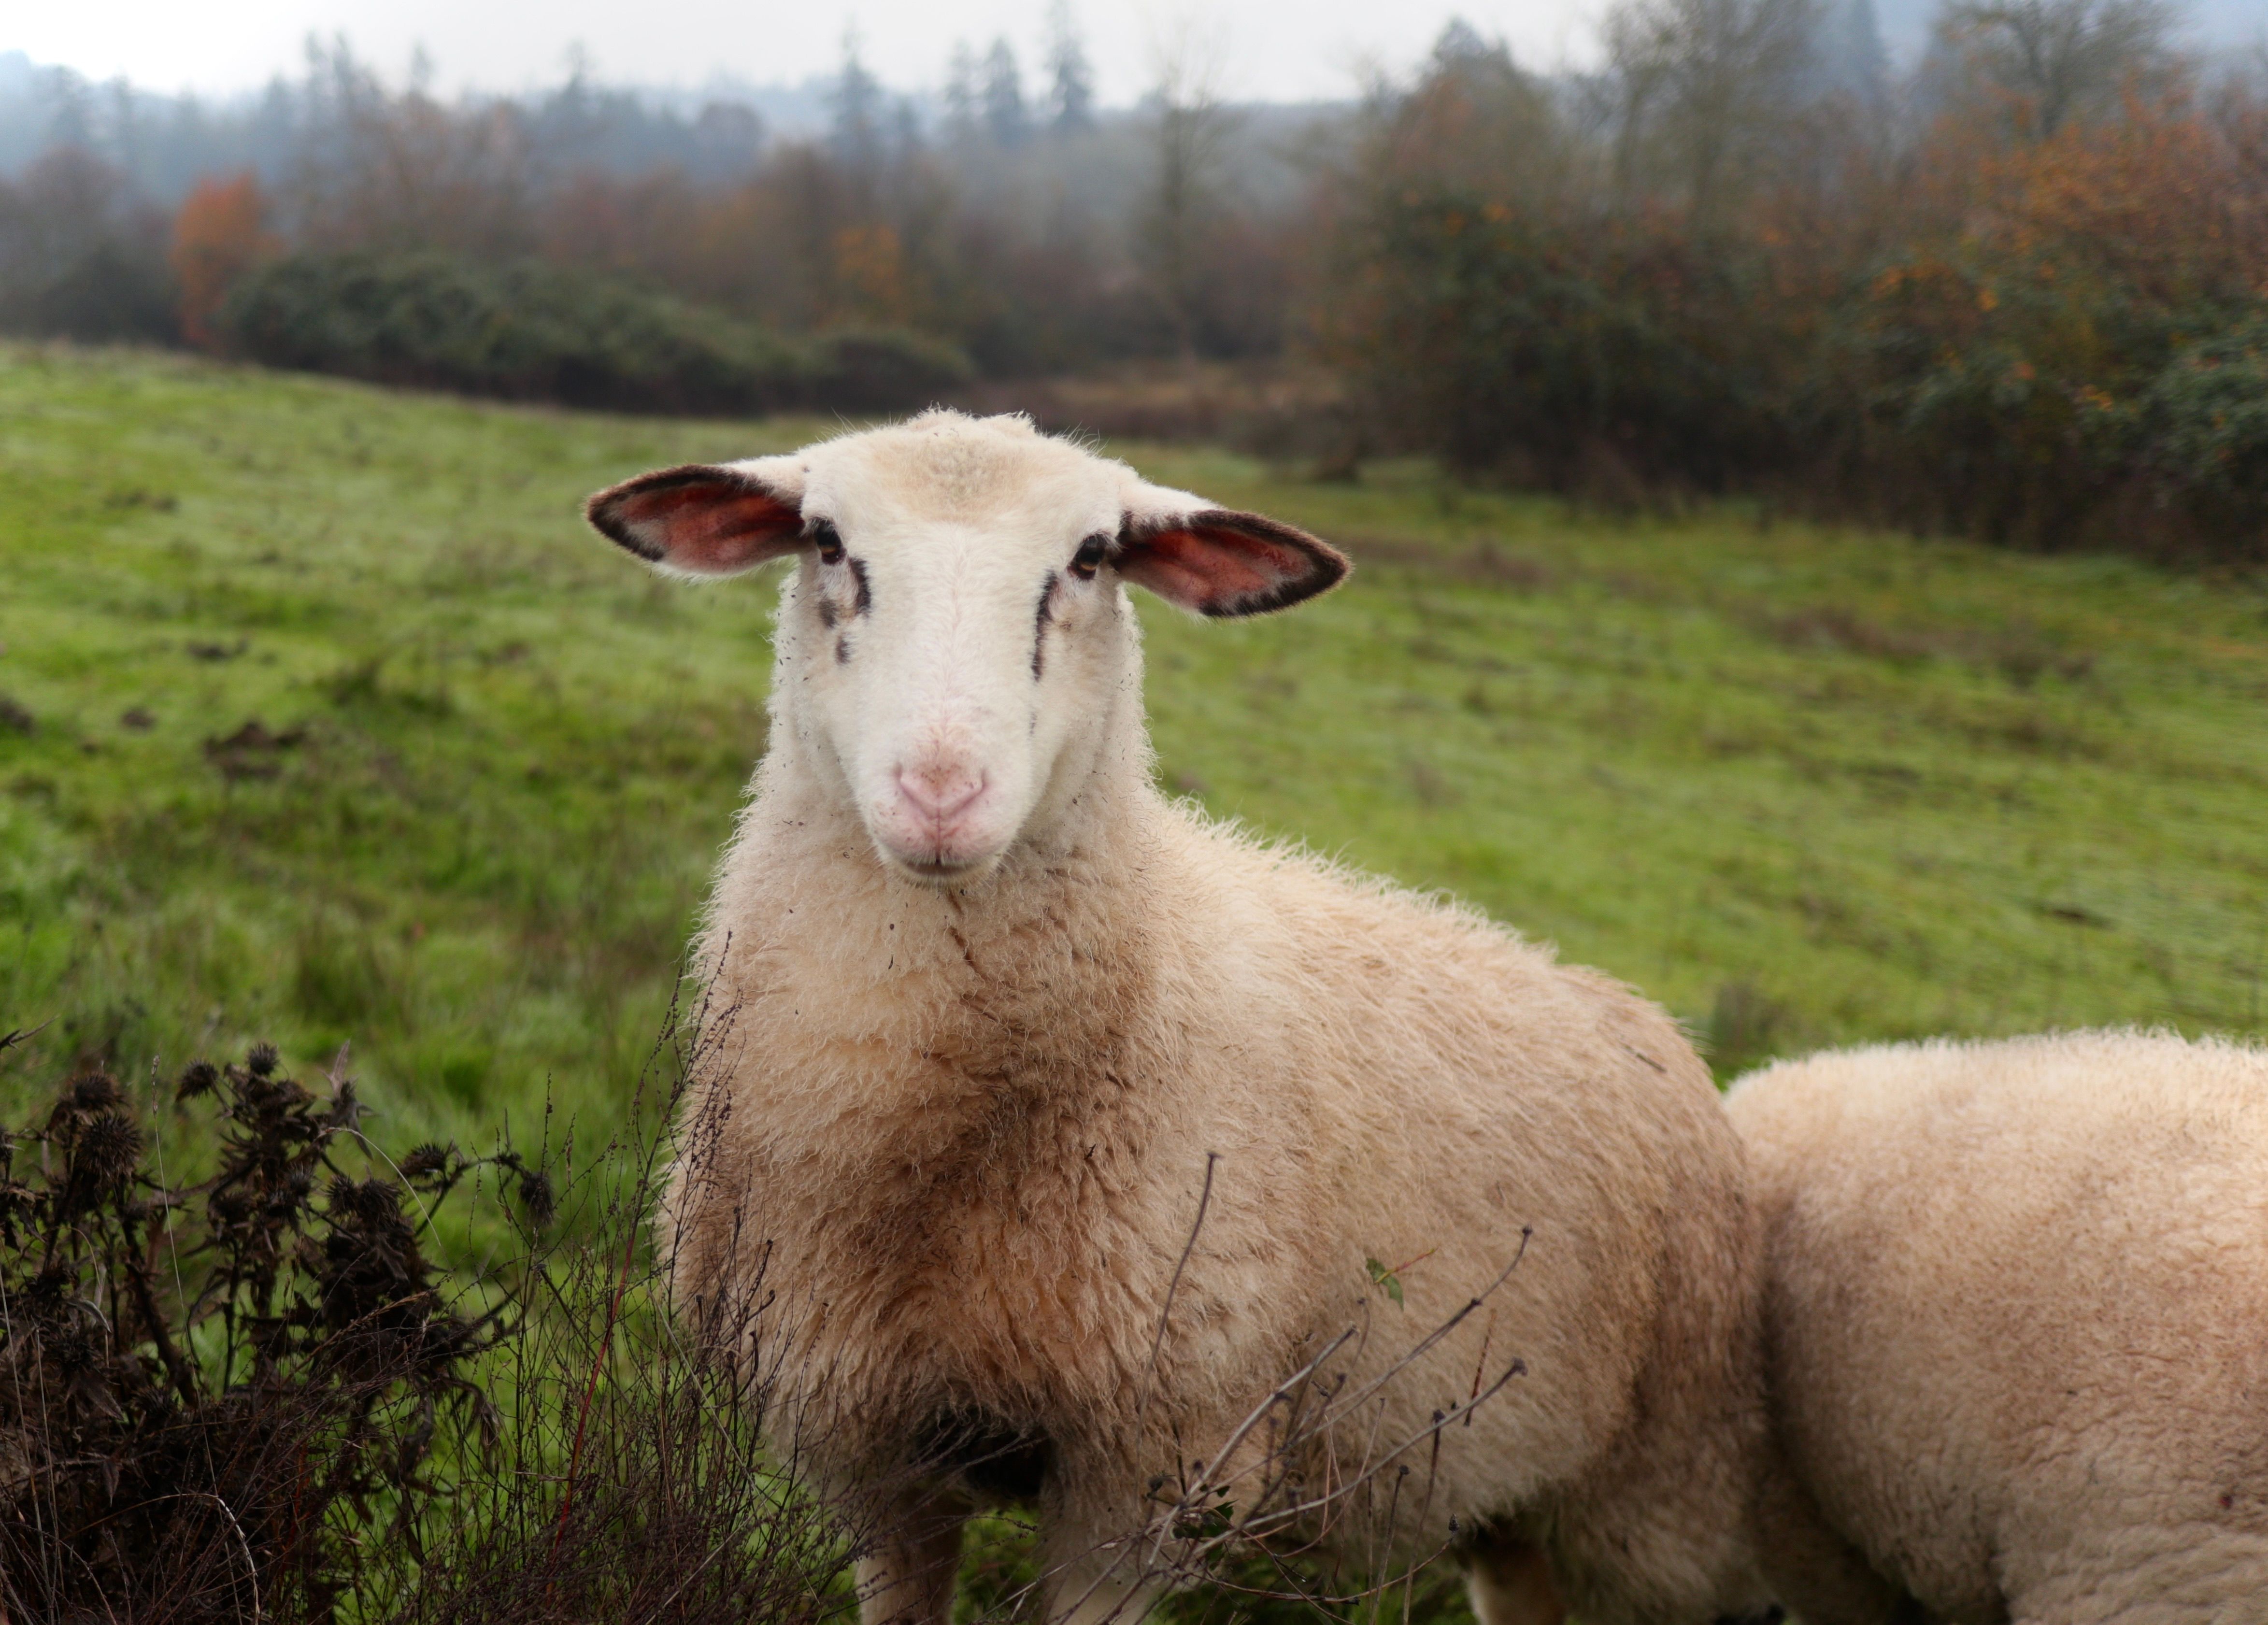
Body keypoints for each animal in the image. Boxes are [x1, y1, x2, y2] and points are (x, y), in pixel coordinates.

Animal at [582, 410, 1774, 1625]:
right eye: (825, 539)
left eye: (1091, 556)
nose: (940, 794)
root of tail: (1651, 1024)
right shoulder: (864, 1446)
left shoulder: (1153, 1468)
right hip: (1511, 1506)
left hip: (1657, 1502)